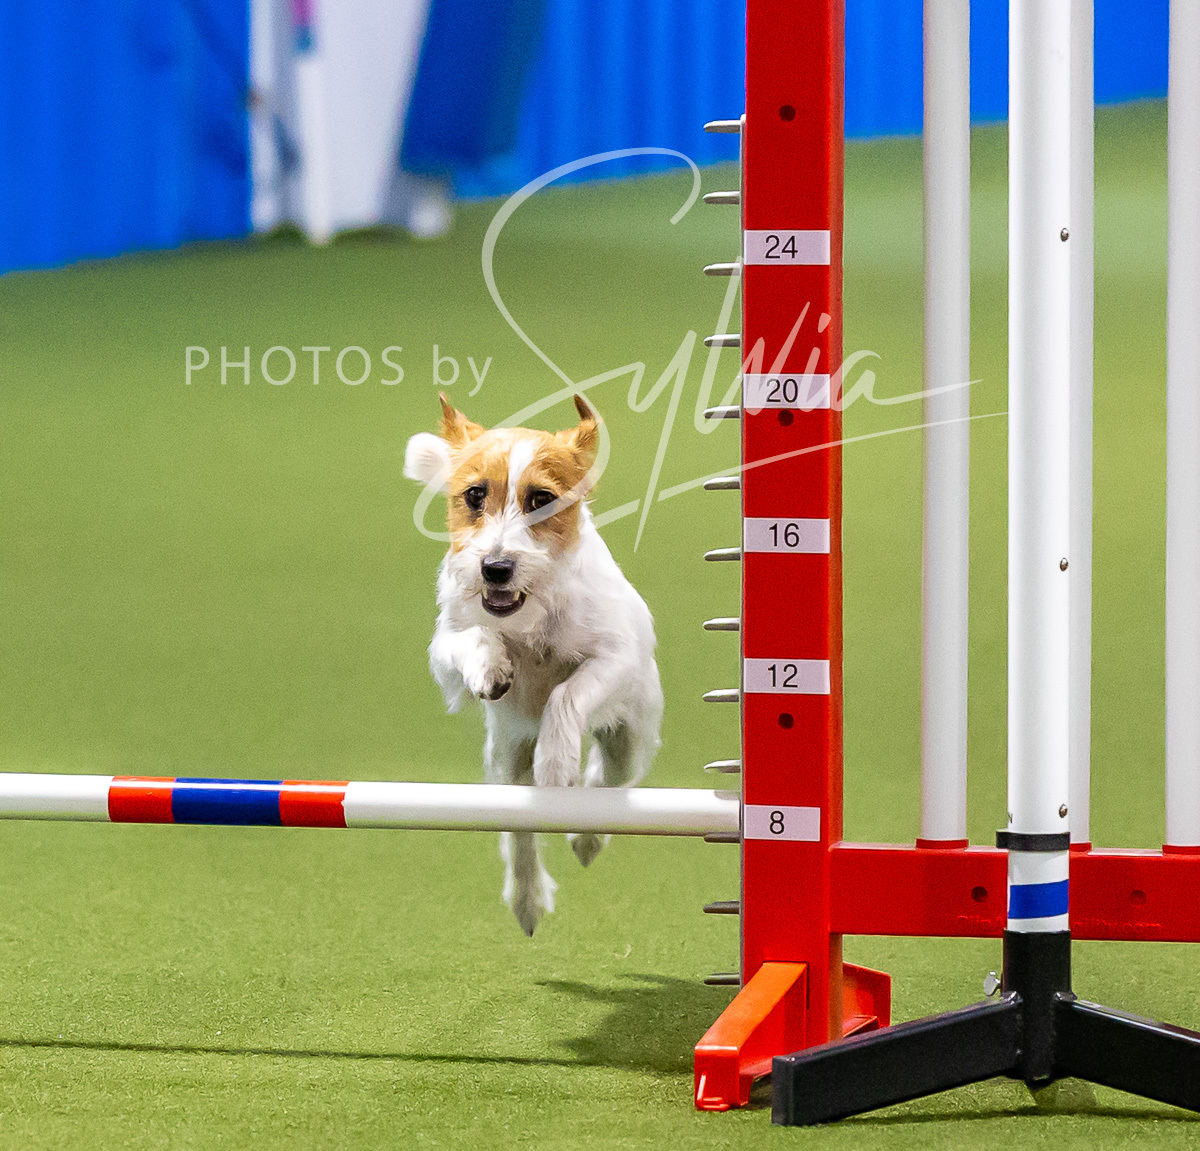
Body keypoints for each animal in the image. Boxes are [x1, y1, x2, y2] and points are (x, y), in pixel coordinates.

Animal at [404, 393, 663, 935]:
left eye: (542, 499)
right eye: (474, 495)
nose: (495, 568)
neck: (530, 607)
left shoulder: (615, 657)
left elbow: (567, 693)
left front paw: (557, 759)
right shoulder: (445, 648)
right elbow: (472, 639)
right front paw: (492, 666)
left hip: (630, 738)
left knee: (607, 781)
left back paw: (586, 835)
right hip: (505, 767)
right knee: (520, 833)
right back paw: (527, 900)